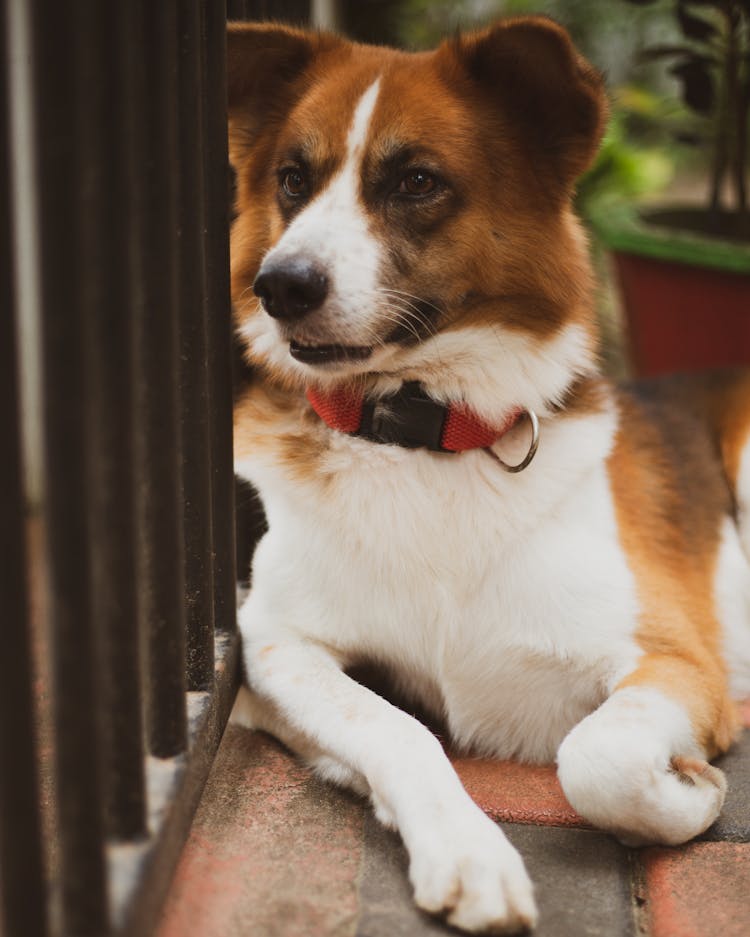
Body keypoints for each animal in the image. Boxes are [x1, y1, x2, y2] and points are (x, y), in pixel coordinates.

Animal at [226, 18, 750, 932]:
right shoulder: (272, 643)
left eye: (416, 181)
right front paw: (467, 852)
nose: (279, 286)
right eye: (293, 179)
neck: (424, 431)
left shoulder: (670, 658)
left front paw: (691, 790)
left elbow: (598, 757)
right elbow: (397, 727)